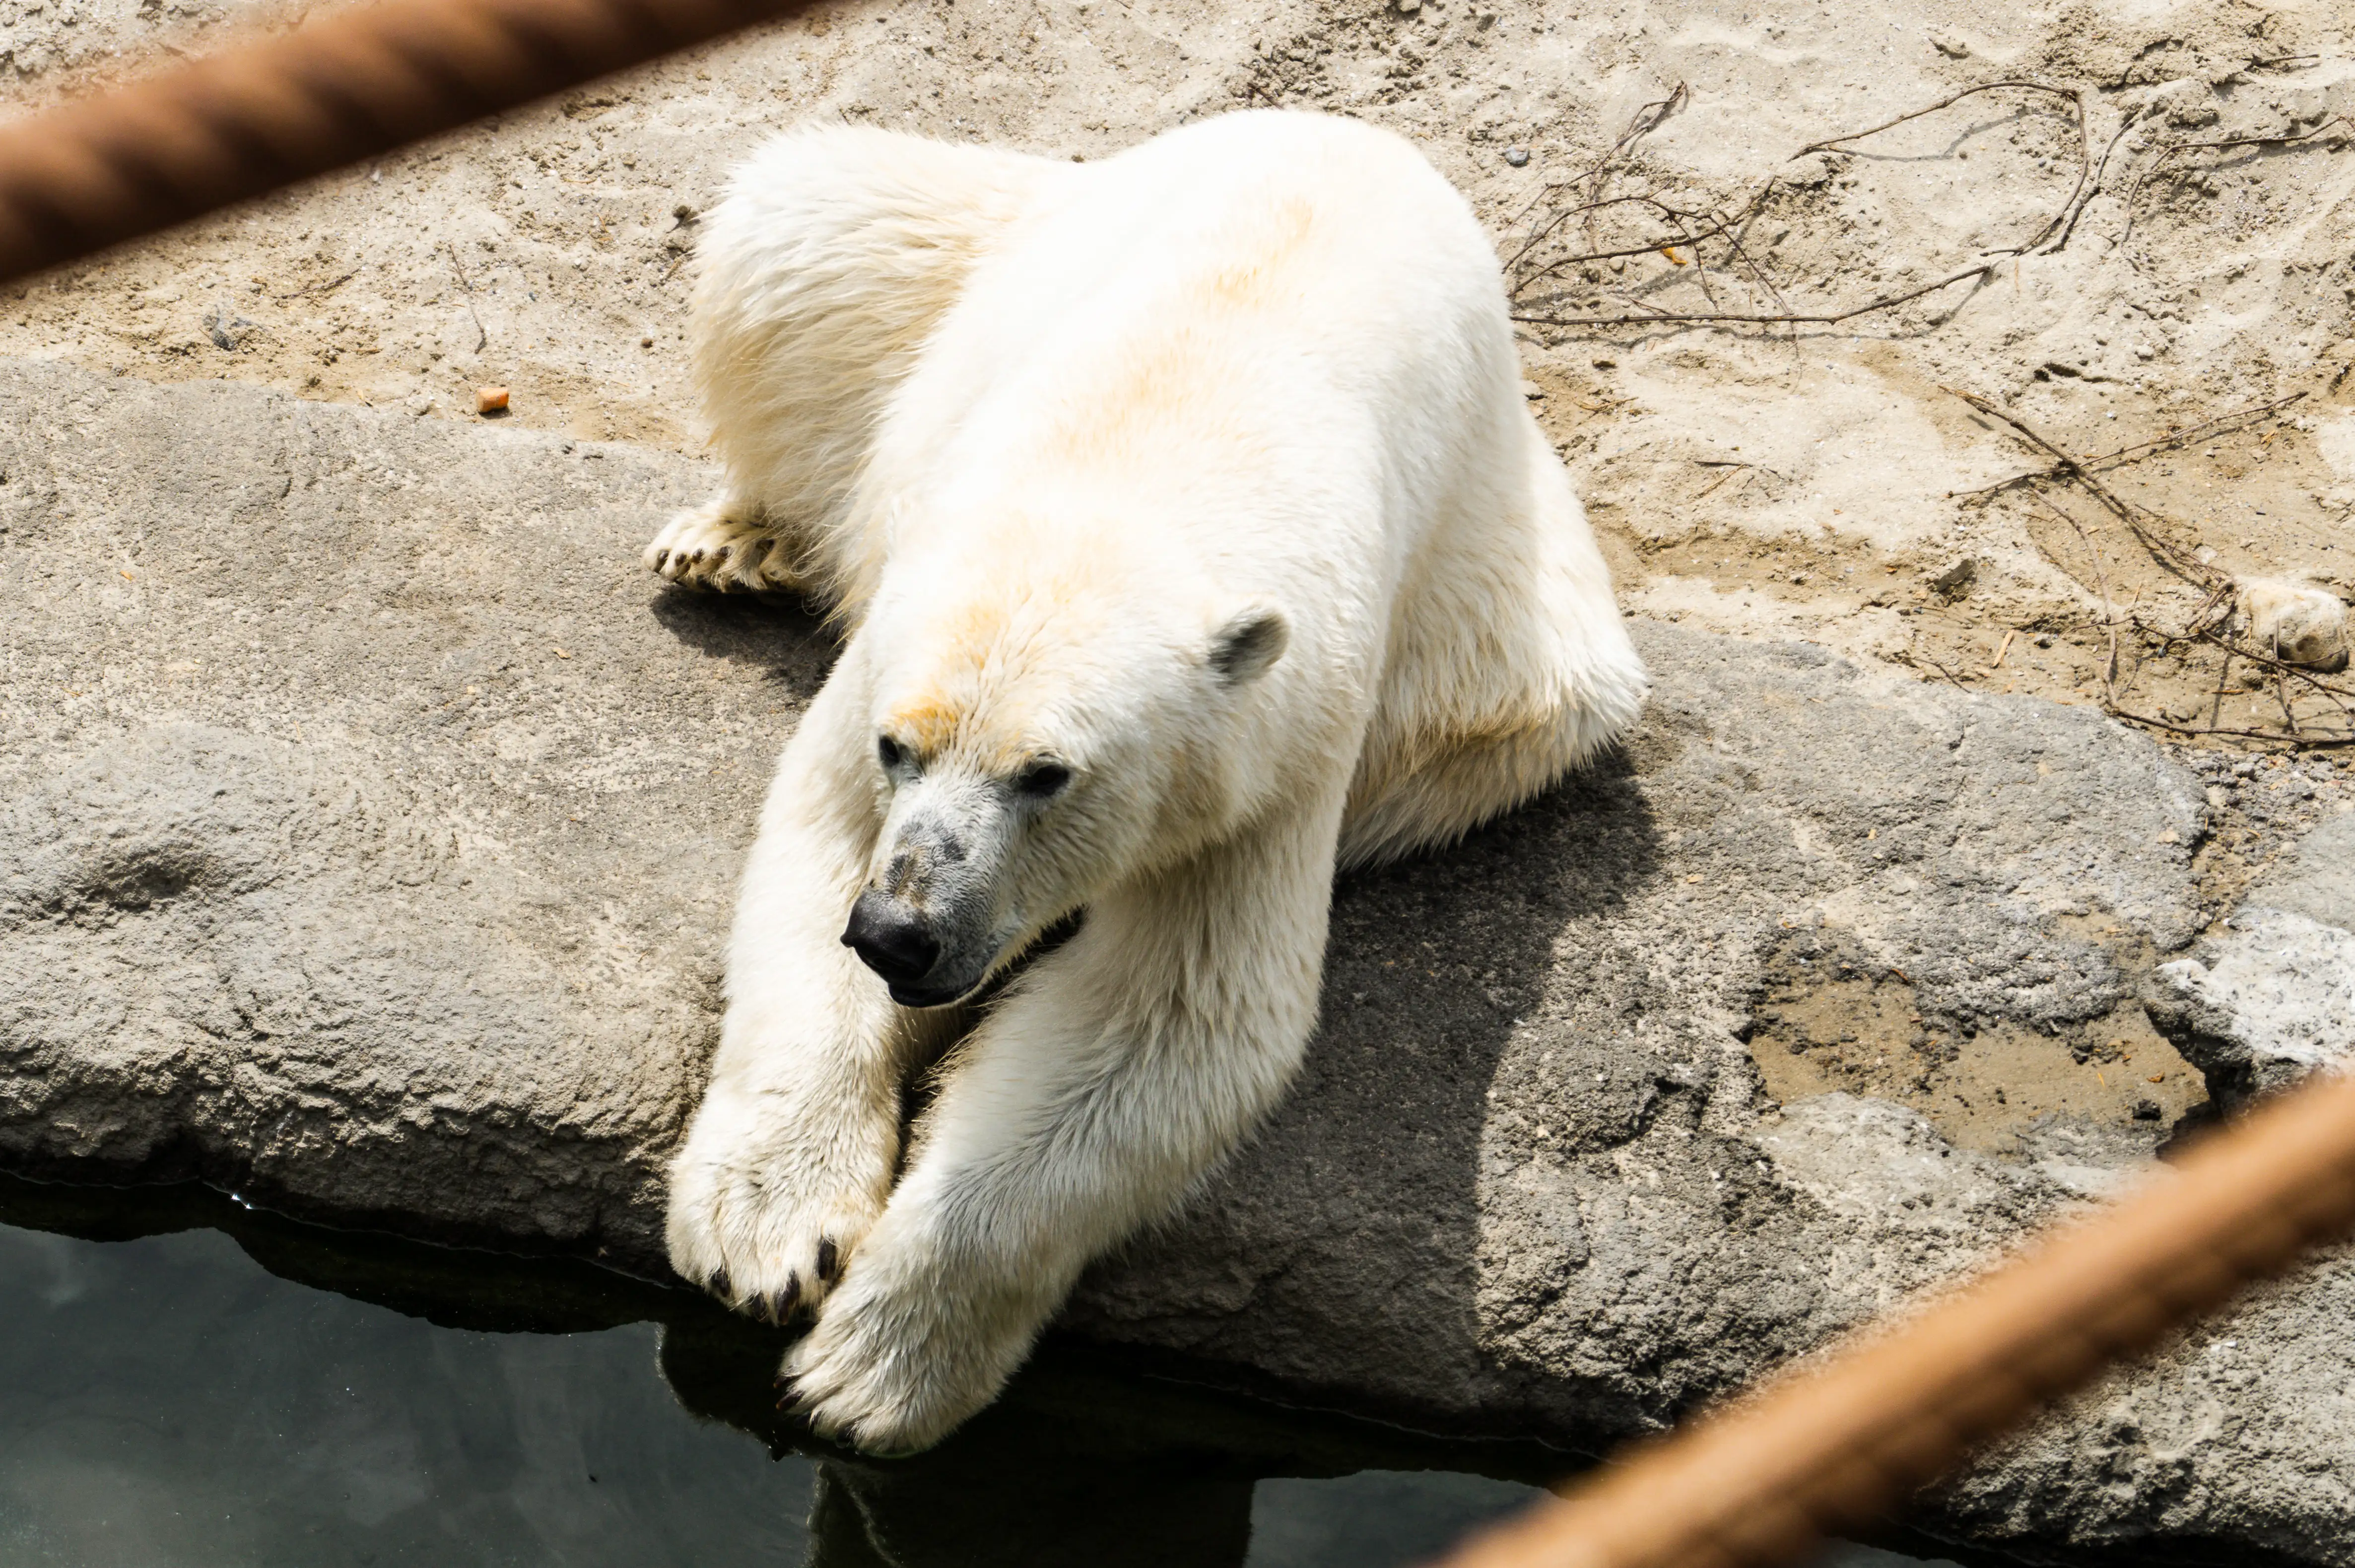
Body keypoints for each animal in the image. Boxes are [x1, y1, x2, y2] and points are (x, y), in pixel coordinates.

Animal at [650, 109, 1648, 1454]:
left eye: (1045, 775)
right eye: (899, 748)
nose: (902, 933)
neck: (1136, 470)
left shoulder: (1271, 750)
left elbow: (1165, 1024)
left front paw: (874, 1366)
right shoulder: (889, 662)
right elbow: (815, 863)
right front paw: (766, 1231)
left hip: (1495, 604)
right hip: (972, 241)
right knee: (796, 230)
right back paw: (732, 542)